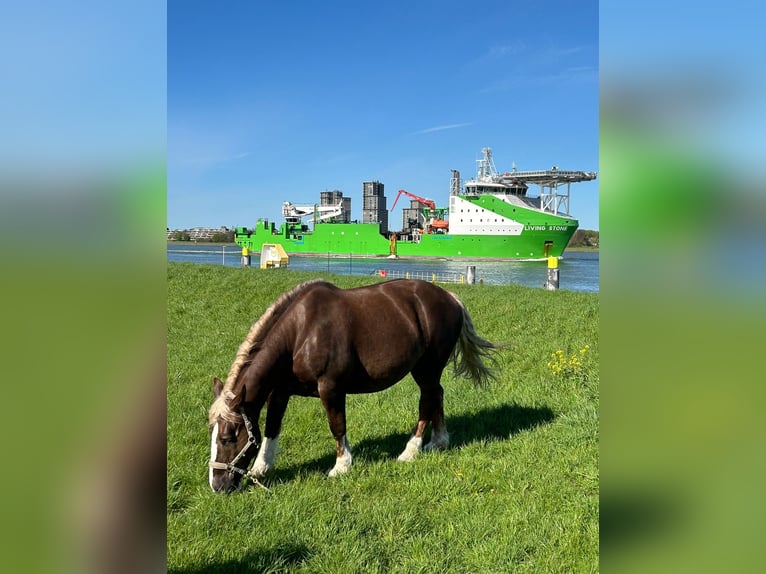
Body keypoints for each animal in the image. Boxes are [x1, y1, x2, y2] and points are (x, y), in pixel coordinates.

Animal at [207, 280, 500, 496]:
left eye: (227, 438)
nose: (217, 485)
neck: (301, 332)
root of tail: (450, 297)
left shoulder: (331, 388)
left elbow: (337, 425)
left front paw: (341, 466)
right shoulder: (280, 390)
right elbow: (272, 427)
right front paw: (261, 468)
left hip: (426, 368)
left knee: (427, 401)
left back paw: (410, 451)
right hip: (427, 371)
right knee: (437, 395)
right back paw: (438, 442)